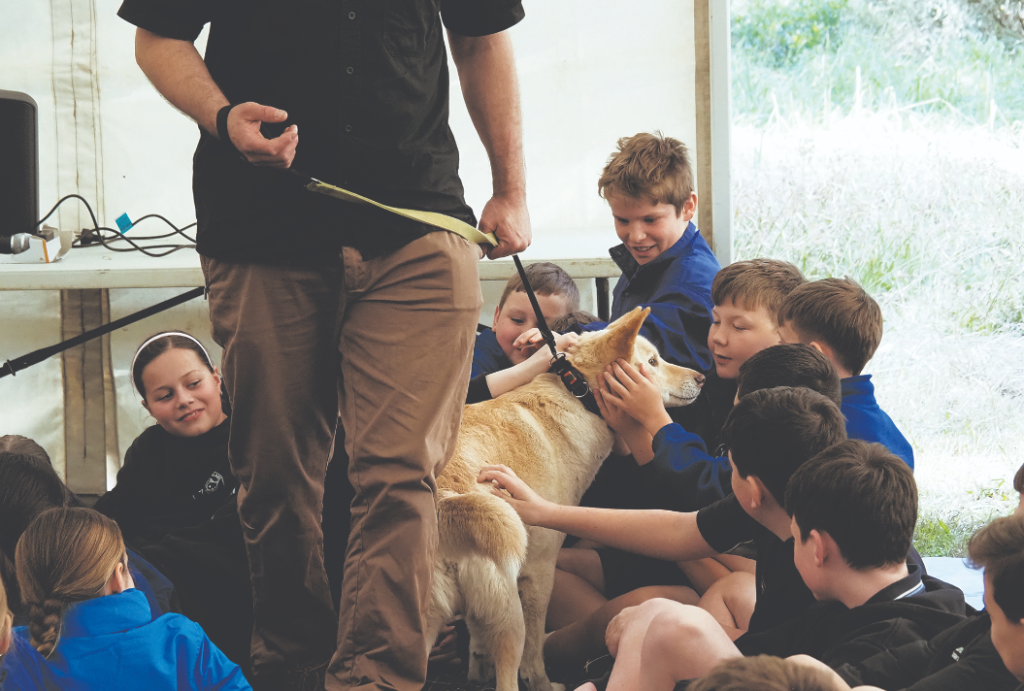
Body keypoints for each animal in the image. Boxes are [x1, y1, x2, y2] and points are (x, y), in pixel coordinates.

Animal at [425, 307, 704, 691]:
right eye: (652, 361)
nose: (702, 377)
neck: (578, 396)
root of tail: (445, 500)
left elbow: (478, 644)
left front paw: (476, 671)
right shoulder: (539, 573)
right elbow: (534, 653)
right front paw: (543, 683)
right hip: (509, 616)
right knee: (512, 671)